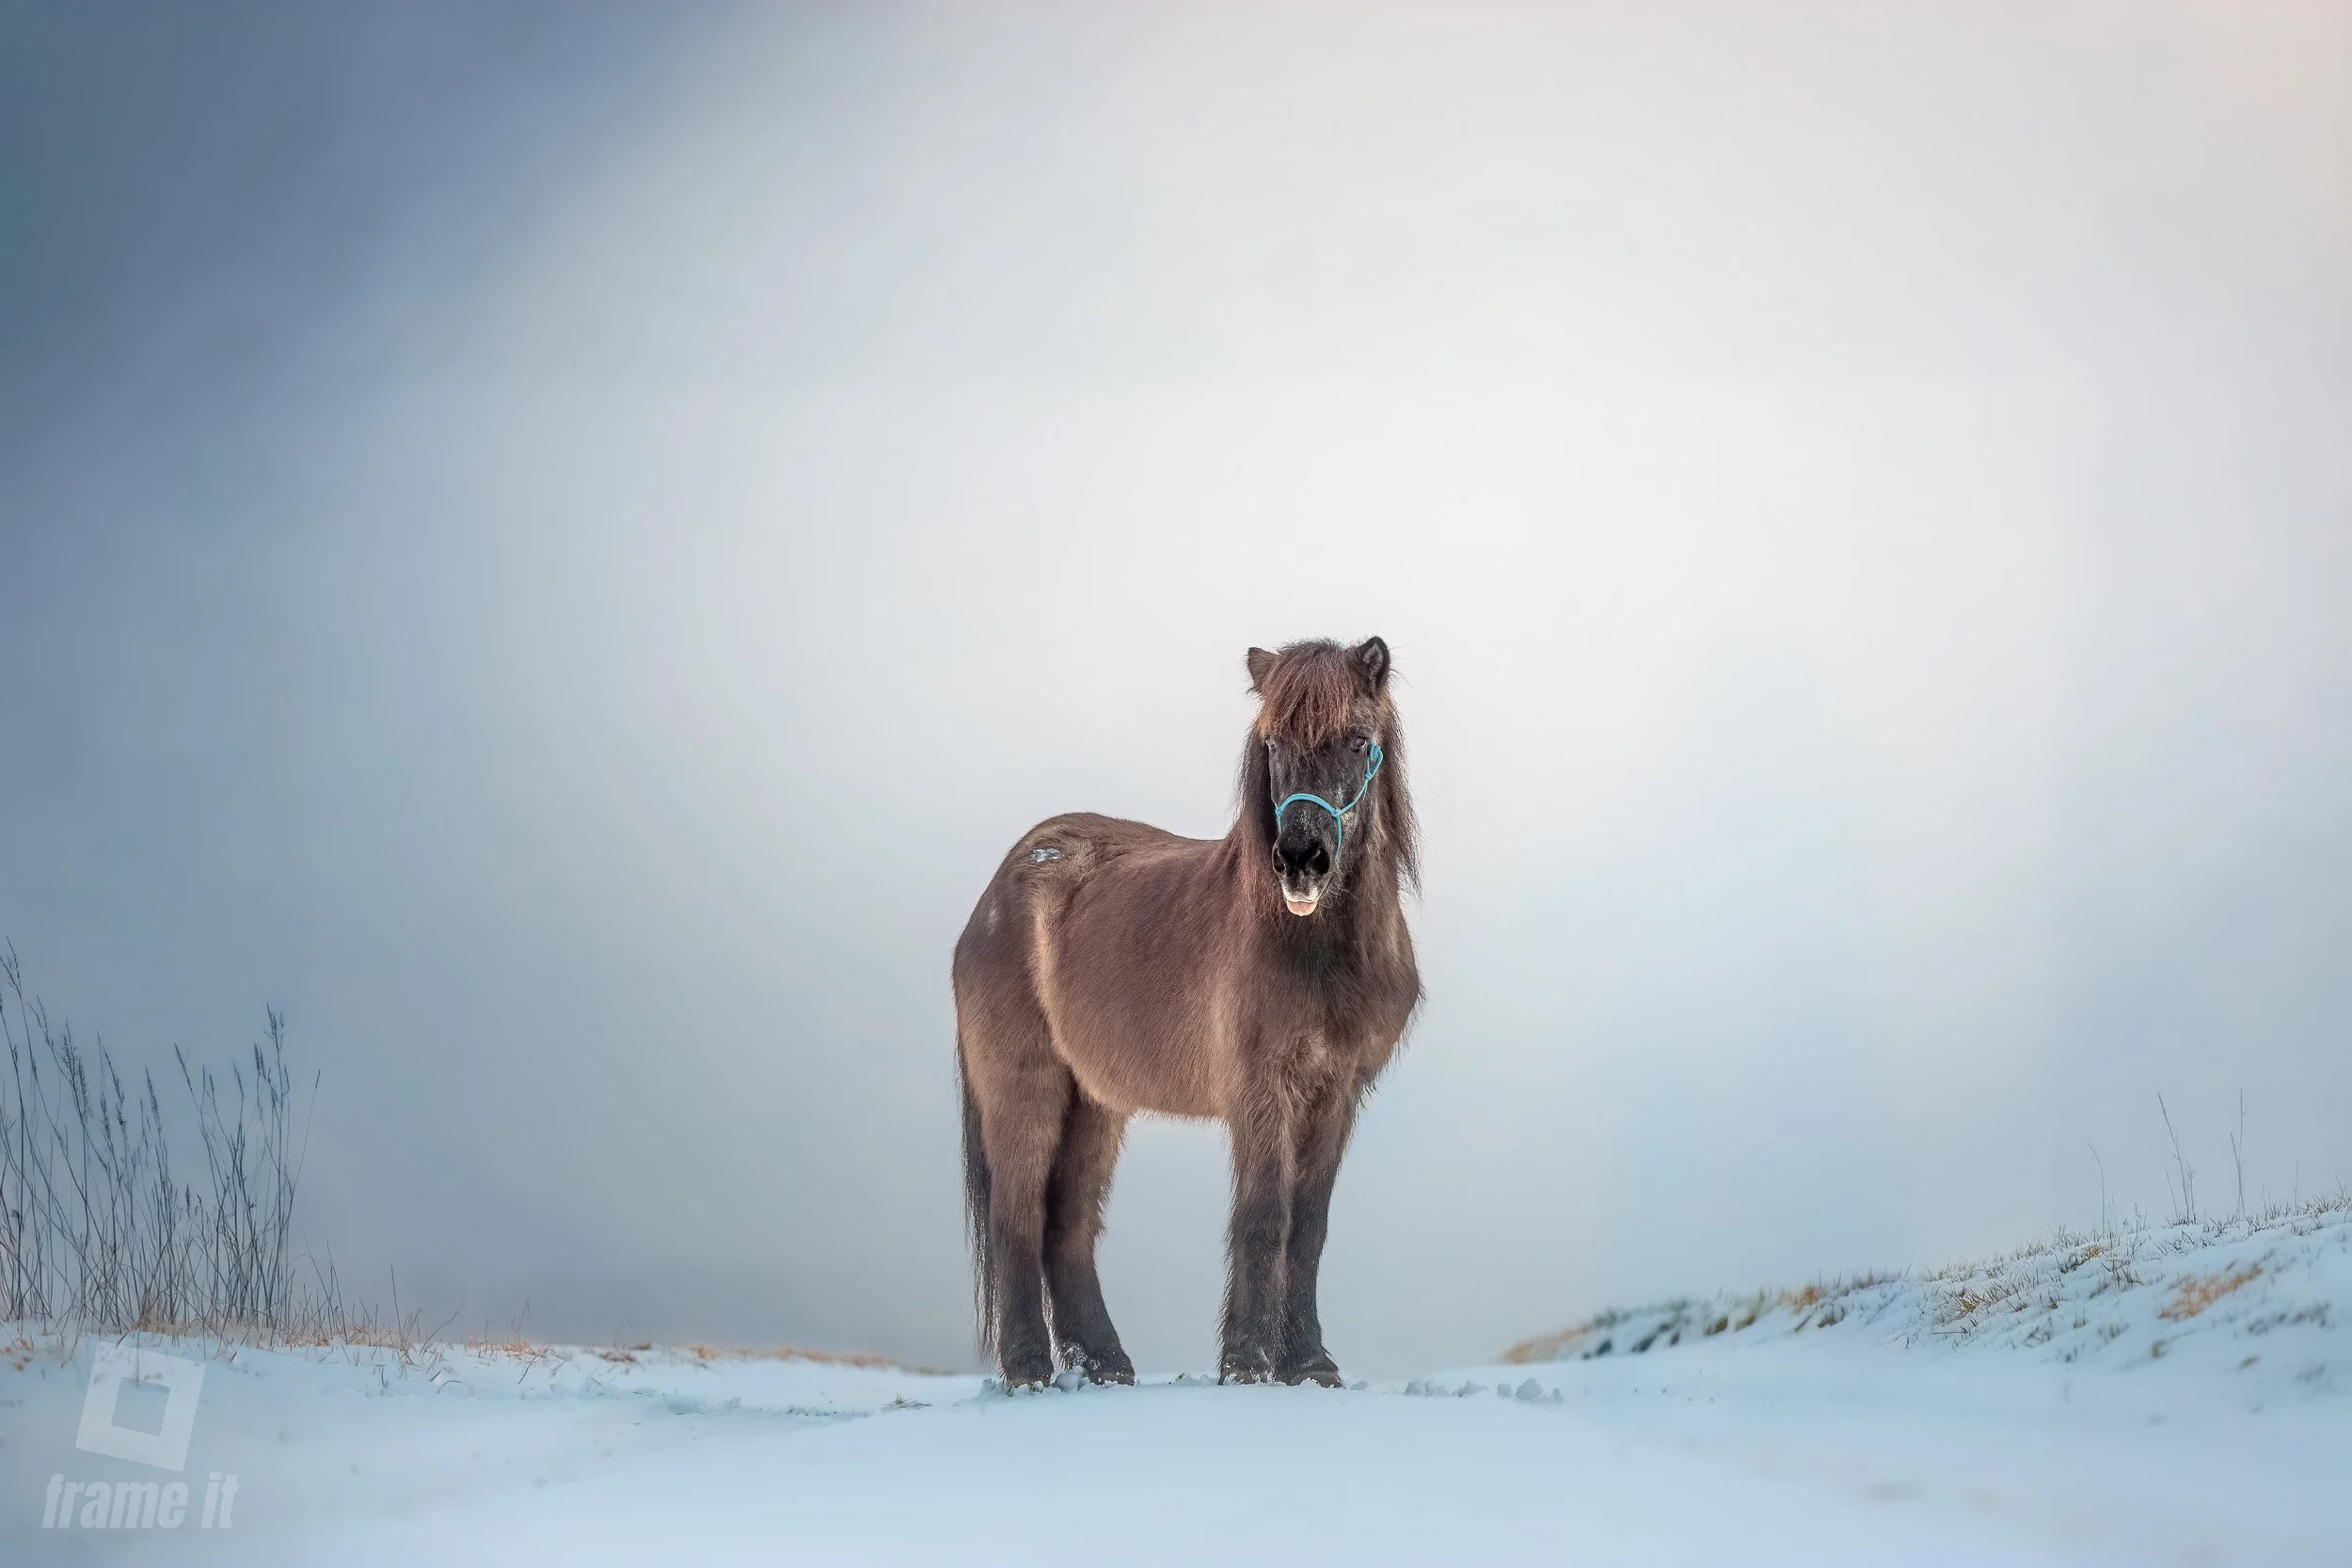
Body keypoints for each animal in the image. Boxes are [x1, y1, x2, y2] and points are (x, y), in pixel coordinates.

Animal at [952, 636, 1422, 1388]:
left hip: (1095, 1103)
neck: (1314, 949)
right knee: (1017, 1219)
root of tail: (1000, 887)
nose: (1300, 860)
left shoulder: (1337, 1093)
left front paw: (1310, 1364)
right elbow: (1263, 1217)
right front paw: (1249, 1362)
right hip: (1026, 1089)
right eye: (1272, 741)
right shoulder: (1262, 1090)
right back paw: (1029, 1370)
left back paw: (1106, 1366)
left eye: (1357, 740)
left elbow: (1309, 1228)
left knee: (1067, 1226)